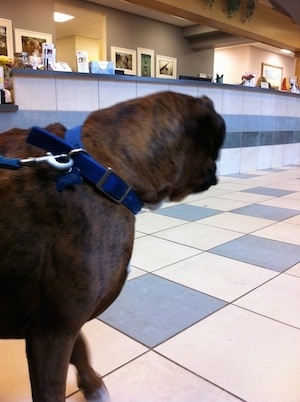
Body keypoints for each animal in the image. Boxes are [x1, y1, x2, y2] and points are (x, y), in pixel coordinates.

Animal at [0, 92, 225, 402]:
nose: (217, 170)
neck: (100, 167)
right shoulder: (52, 333)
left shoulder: (66, 325)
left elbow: (80, 347)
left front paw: (91, 383)